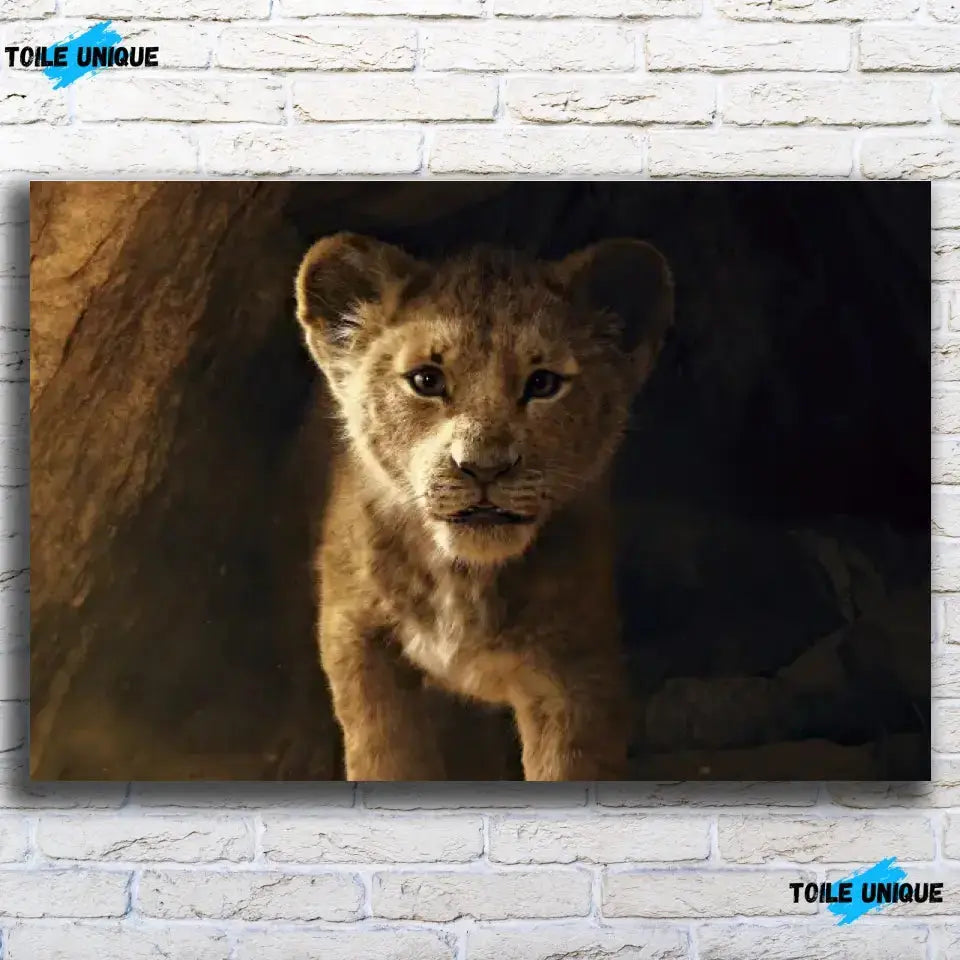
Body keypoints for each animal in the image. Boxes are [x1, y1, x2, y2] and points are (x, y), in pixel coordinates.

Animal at [295, 233, 673, 781]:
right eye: (426, 381)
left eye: (543, 384)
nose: (484, 467)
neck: (464, 576)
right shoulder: (356, 635)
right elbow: (386, 755)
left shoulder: (577, 667)